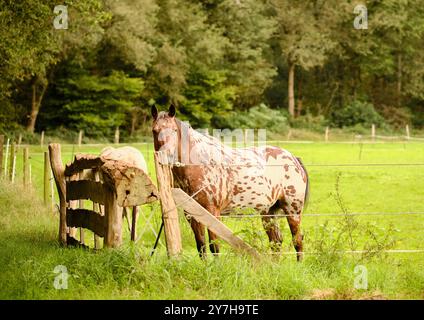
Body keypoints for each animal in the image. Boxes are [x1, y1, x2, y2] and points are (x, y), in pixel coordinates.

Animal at [152, 105, 308, 260]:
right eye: (155, 130)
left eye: (174, 130)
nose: (166, 155)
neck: (200, 165)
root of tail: (293, 158)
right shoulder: (191, 213)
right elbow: (201, 246)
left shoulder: (213, 212)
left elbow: (214, 245)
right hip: (268, 212)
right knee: (276, 241)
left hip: (292, 210)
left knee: (297, 240)